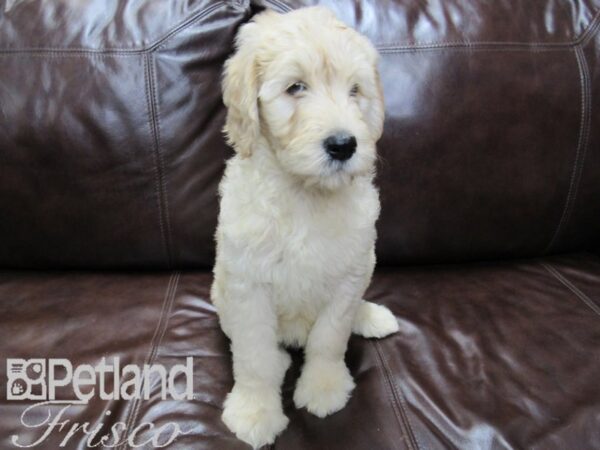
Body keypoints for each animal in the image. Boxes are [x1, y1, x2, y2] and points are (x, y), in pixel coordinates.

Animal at [211, 5, 398, 448]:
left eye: (354, 90)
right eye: (296, 87)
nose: (344, 145)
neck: (304, 195)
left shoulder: (349, 274)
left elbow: (330, 338)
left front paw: (324, 387)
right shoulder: (247, 285)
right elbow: (254, 355)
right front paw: (255, 410)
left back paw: (369, 316)